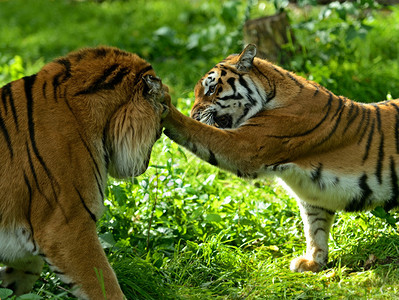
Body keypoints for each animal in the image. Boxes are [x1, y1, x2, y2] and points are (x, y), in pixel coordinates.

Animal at [0, 45, 169, 298]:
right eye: (160, 124)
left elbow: (28, 267)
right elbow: (103, 283)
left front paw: (9, 286)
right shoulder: (67, 225)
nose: (146, 164)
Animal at [162, 44, 399, 274]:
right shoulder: (313, 193)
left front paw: (164, 103)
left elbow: (198, 131)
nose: (194, 114)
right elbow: (315, 228)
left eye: (211, 89)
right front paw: (314, 262)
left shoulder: (245, 145)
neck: (271, 92)